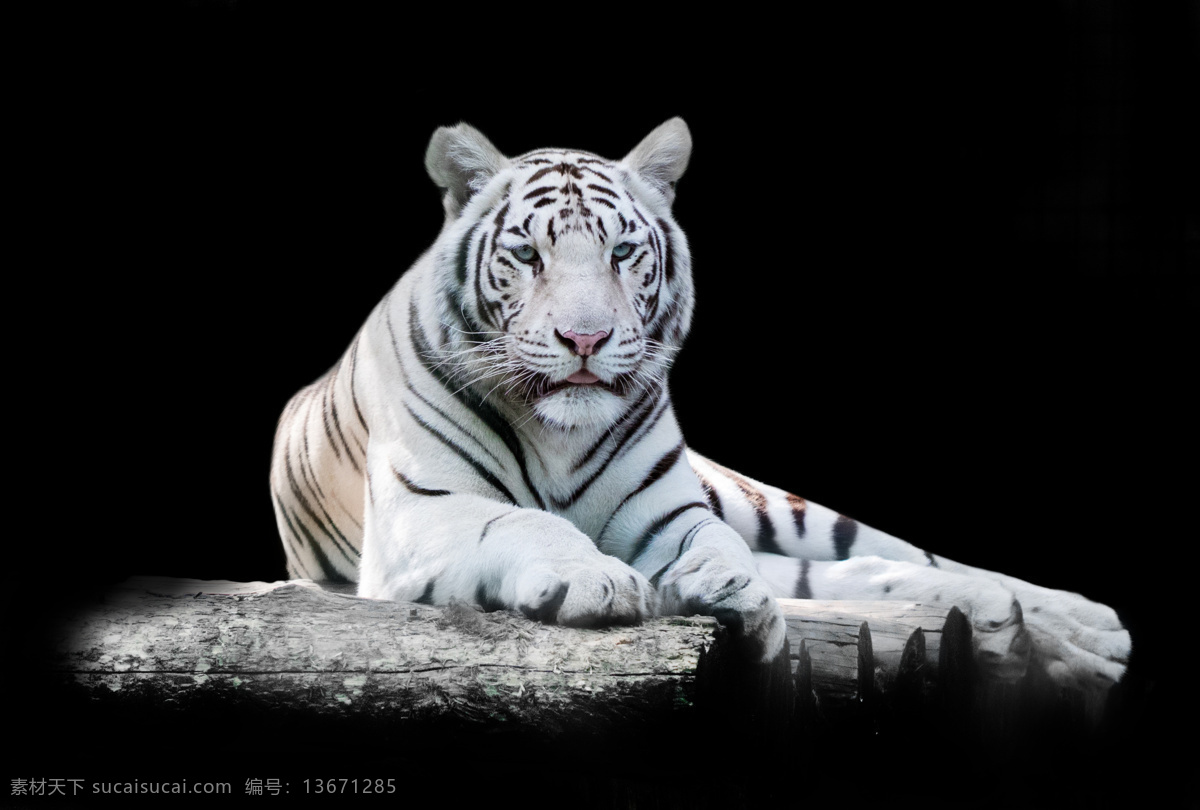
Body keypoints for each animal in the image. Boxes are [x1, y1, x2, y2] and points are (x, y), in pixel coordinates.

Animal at [269, 118, 1129, 689]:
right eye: (527, 254)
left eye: (621, 251)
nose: (585, 338)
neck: (558, 437)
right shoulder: (422, 514)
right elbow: (522, 521)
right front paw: (600, 581)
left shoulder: (672, 514)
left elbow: (716, 546)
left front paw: (731, 594)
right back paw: (1014, 624)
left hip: (767, 502)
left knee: (899, 555)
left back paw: (1083, 629)